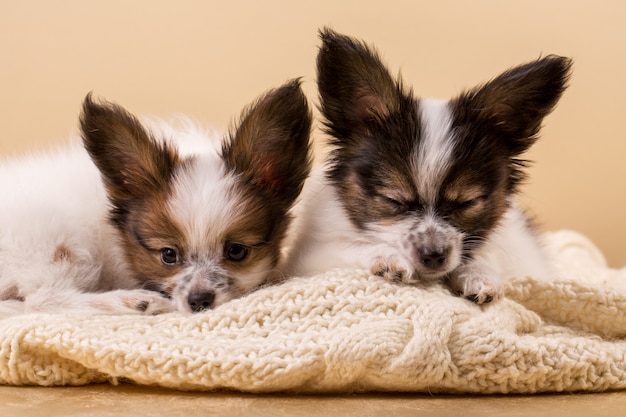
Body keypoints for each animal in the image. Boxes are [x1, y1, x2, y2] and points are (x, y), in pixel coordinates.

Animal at [0, 79, 312, 316]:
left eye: (237, 251)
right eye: (168, 255)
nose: (199, 300)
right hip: (61, 245)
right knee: (43, 299)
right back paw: (133, 301)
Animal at [280, 28, 572, 302]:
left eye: (467, 203)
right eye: (393, 200)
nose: (433, 255)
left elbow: (483, 254)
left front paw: (478, 274)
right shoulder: (310, 258)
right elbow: (350, 245)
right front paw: (387, 257)